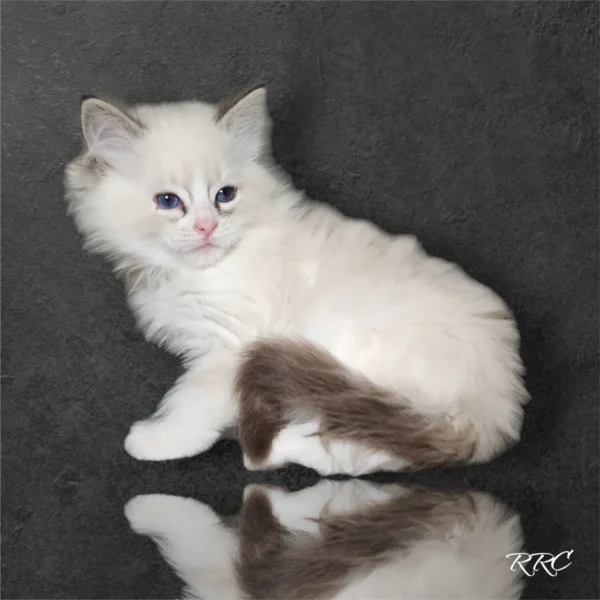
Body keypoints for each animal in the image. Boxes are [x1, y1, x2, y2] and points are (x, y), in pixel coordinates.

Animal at [63, 86, 528, 476]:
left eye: (225, 195)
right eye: (167, 202)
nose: (206, 228)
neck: (198, 272)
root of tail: (496, 408)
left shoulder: (229, 347)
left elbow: (191, 406)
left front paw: (157, 442)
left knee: (348, 450)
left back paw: (272, 445)